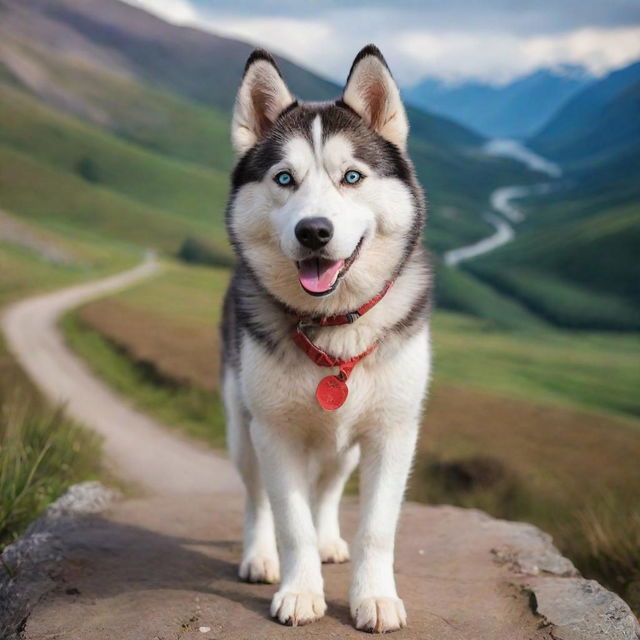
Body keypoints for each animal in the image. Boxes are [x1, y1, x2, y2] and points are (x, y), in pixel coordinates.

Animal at [222, 42, 432, 632]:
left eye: (352, 177)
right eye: (284, 179)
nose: (313, 231)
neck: (335, 324)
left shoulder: (392, 432)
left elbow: (376, 527)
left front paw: (374, 596)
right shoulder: (273, 432)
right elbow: (289, 520)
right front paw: (298, 590)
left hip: (344, 449)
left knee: (329, 489)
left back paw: (330, 540)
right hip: (241, 427)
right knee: (255, 498)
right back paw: (260, 556)